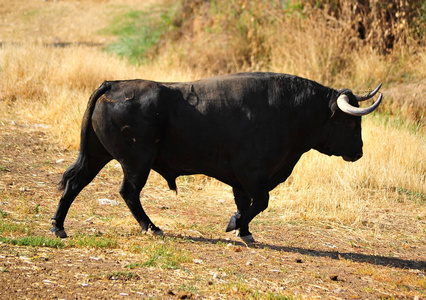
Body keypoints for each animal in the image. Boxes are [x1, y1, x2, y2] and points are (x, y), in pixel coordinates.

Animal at [50, 71, 382, 243]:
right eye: (350, 122)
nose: (359, 152)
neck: (289, 110)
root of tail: (114, 84)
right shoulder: (252, 173)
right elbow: (259, 203)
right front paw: (235, 224)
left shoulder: (241, 179)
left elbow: (246, 203)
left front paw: (245, 232)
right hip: (136, 162)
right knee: (128, 192)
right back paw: (152, 227)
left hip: (96, 155)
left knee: (75, 184)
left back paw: (58, 226)